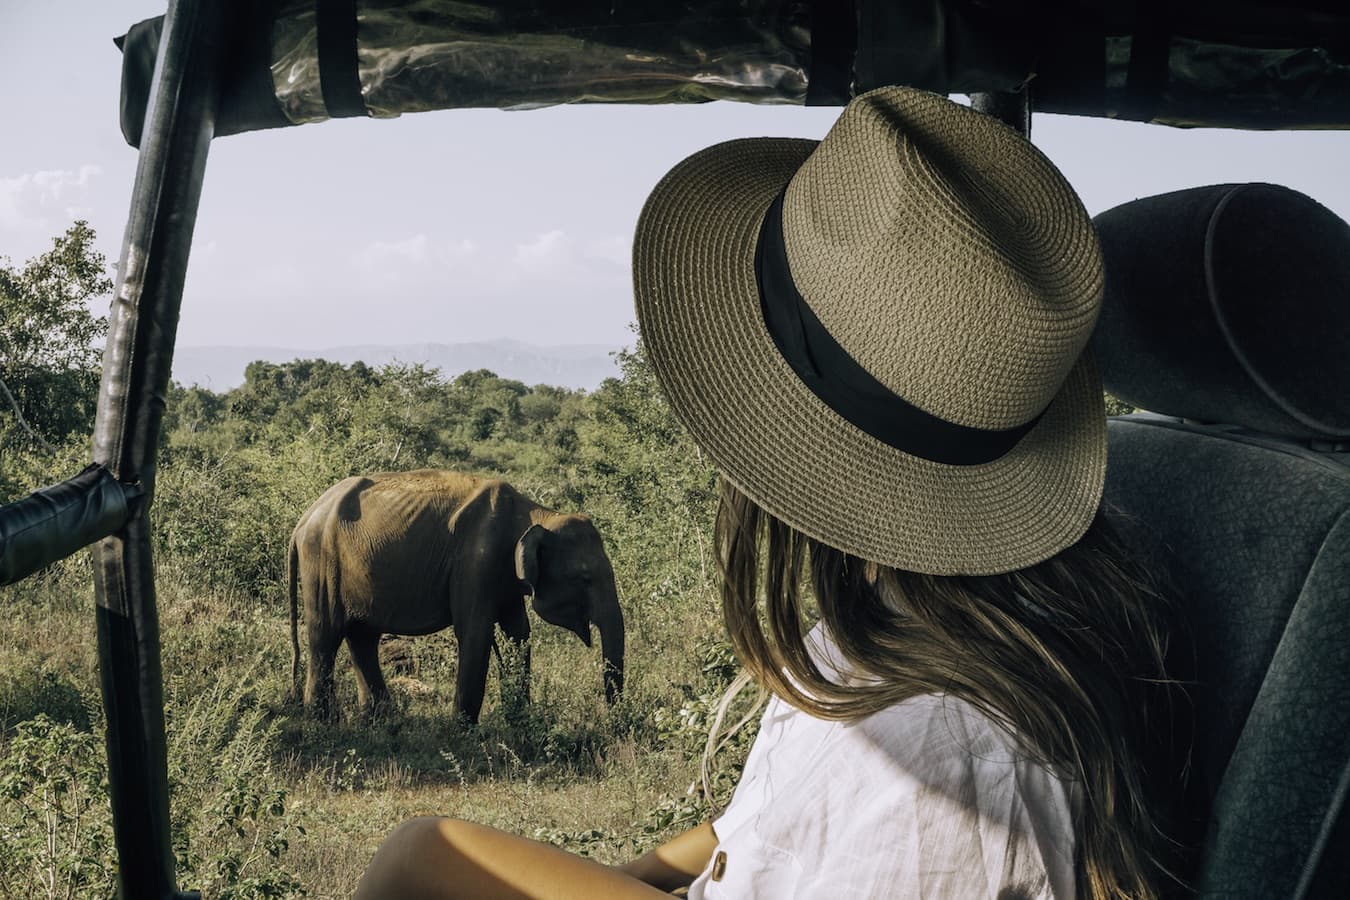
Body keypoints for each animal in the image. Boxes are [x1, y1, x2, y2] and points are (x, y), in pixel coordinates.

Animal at [287, 469, 624, 724]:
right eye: (585, 578)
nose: (614, 723)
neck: (532, 513)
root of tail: (302, 521)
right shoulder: (475, 561)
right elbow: (476, 632)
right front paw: (463, 731)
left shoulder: (502, 576)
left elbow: (518, 634)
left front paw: (518, 720)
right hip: (322, 562)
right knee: (326, 636)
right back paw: (322, 721)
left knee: (362, 637)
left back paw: (380, 720)